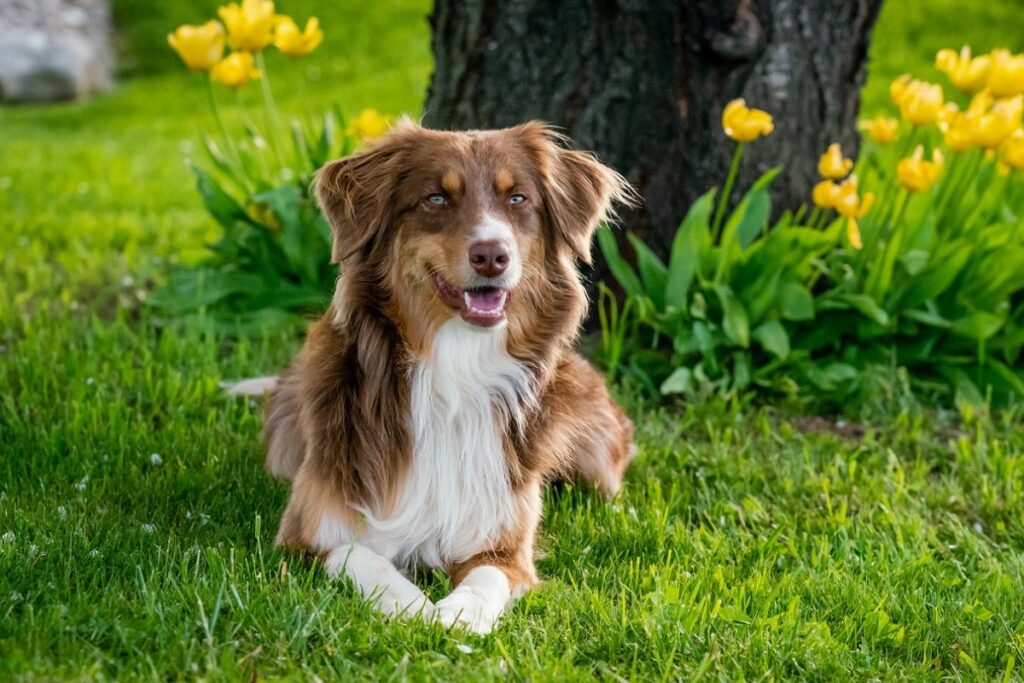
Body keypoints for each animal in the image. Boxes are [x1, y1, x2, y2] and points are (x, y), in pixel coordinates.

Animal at [244, 118, 634, 634]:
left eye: (518, 198)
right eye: (435, 198)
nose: (492, 255)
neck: (454, 368)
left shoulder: (506, 544)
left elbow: (487, 577)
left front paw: (460, 614)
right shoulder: (306, 534)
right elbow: (359, 557)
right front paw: (412, 606)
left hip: (596, 456)